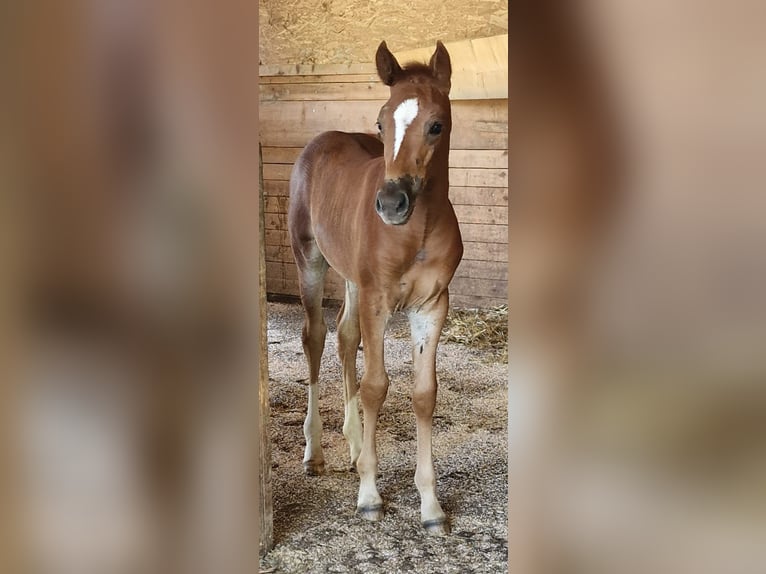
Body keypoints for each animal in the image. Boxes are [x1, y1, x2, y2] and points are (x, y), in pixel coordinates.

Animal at [286, 41, 462, 536]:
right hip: (310, 259)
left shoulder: (431, 306)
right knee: (315, 337)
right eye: (382, 123)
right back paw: (315, 453)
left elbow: (424, 394)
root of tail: (322, 140)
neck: (415, 233)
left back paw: (351, 445)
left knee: (345, 336)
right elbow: (375, 387)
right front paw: (369, 496)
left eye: (436, 125)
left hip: (350, 278)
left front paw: (430, 505)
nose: (391, 203)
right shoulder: (378, 301)